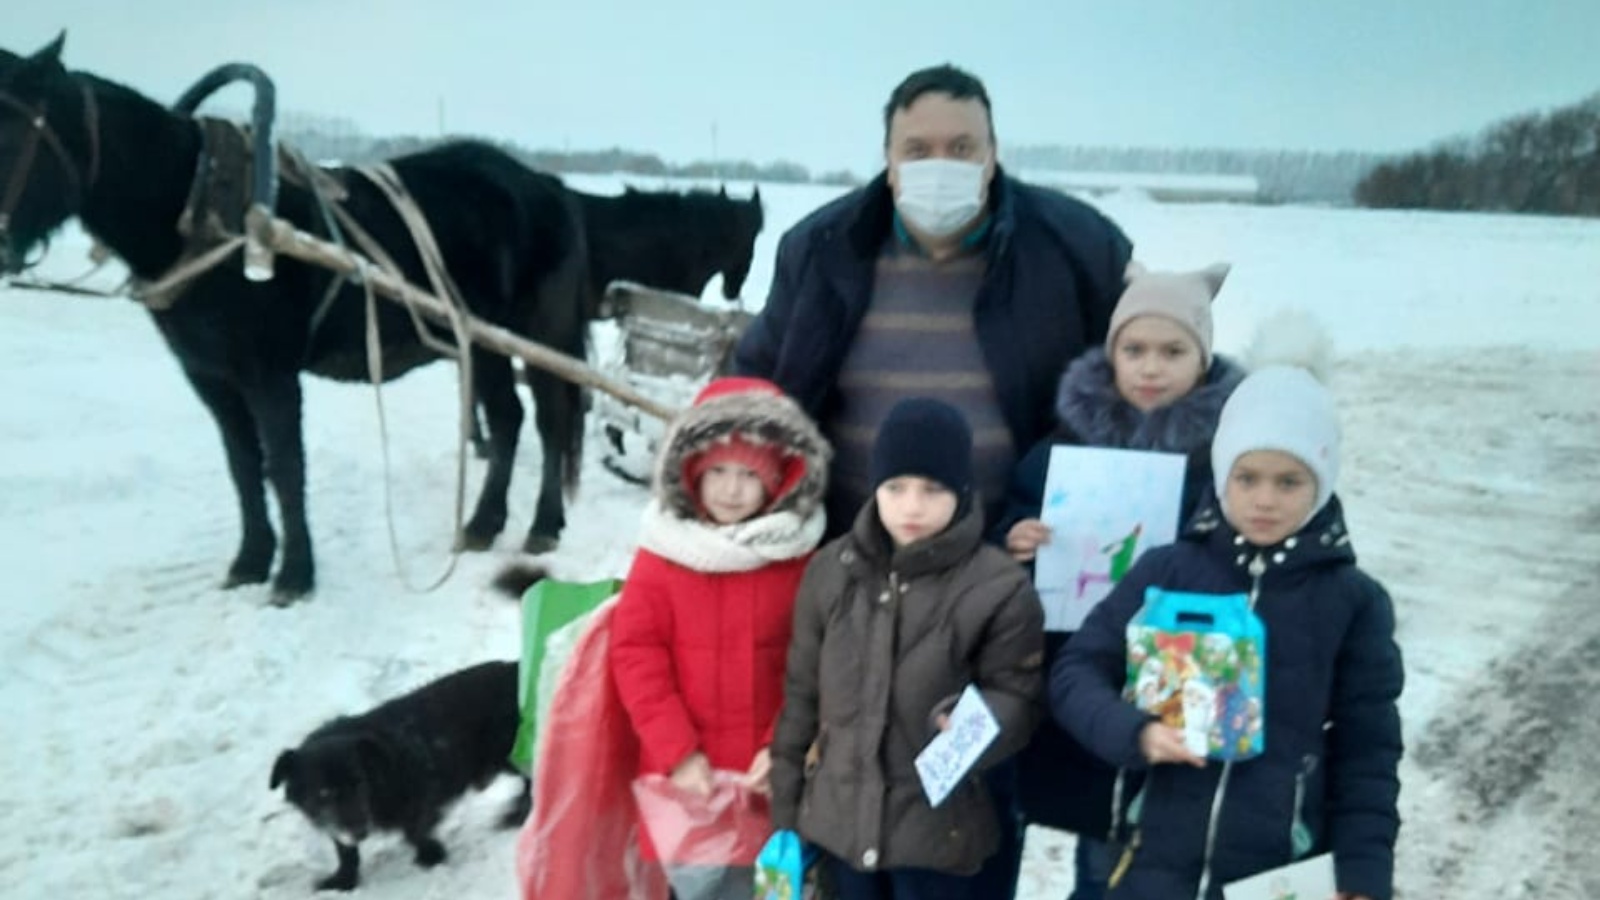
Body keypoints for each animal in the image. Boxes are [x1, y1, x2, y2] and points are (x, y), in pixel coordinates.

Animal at [0, 34, 593, 604]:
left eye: (9, 133)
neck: (202, 211)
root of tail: (546, 185)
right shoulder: (211, 377)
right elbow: (243, 466)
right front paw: (250, 561)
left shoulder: (270, 373)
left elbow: (285, 467)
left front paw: (294, 575)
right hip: (482, 341)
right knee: (510, 417)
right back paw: (484, 524)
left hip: (536, 334)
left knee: (550, 420)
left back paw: (541, 523)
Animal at [269, 660, 531, 891]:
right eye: (324, 793)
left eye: (359, 783)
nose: (362, 832)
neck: (380, 774)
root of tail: (515, 666)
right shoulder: (337, 824)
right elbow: (346, 851)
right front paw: (344, 881)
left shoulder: (422, 793)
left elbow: (414, 831)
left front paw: (431, 855)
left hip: (510, 752)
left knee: (532, 781)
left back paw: (518, 815)